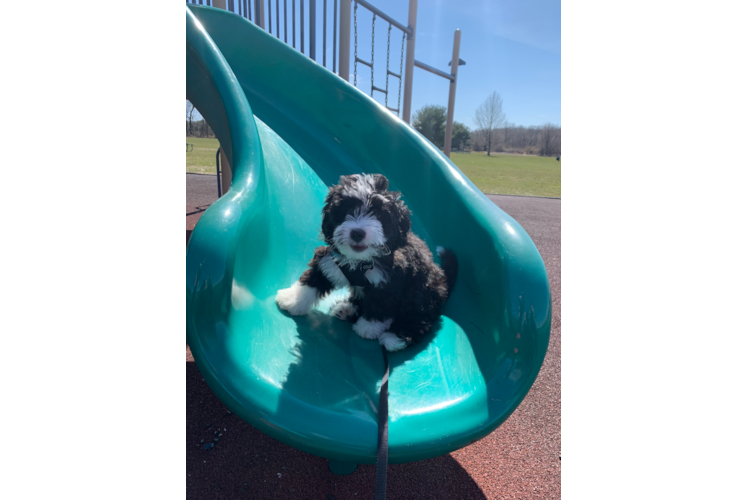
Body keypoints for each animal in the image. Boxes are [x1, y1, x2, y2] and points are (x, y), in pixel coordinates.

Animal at [274, 173, 456, 352]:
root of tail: (443, 282)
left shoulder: (389, 280)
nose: (357, 233)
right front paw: (293, 299)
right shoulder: (330, 260)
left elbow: (379, 306)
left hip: (420, 293)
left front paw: (368, 328)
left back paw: (396, 337)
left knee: (419, 317)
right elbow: (314, 279)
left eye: (378, 215)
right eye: (347, 210)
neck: (359, 261)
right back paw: (347, 309)